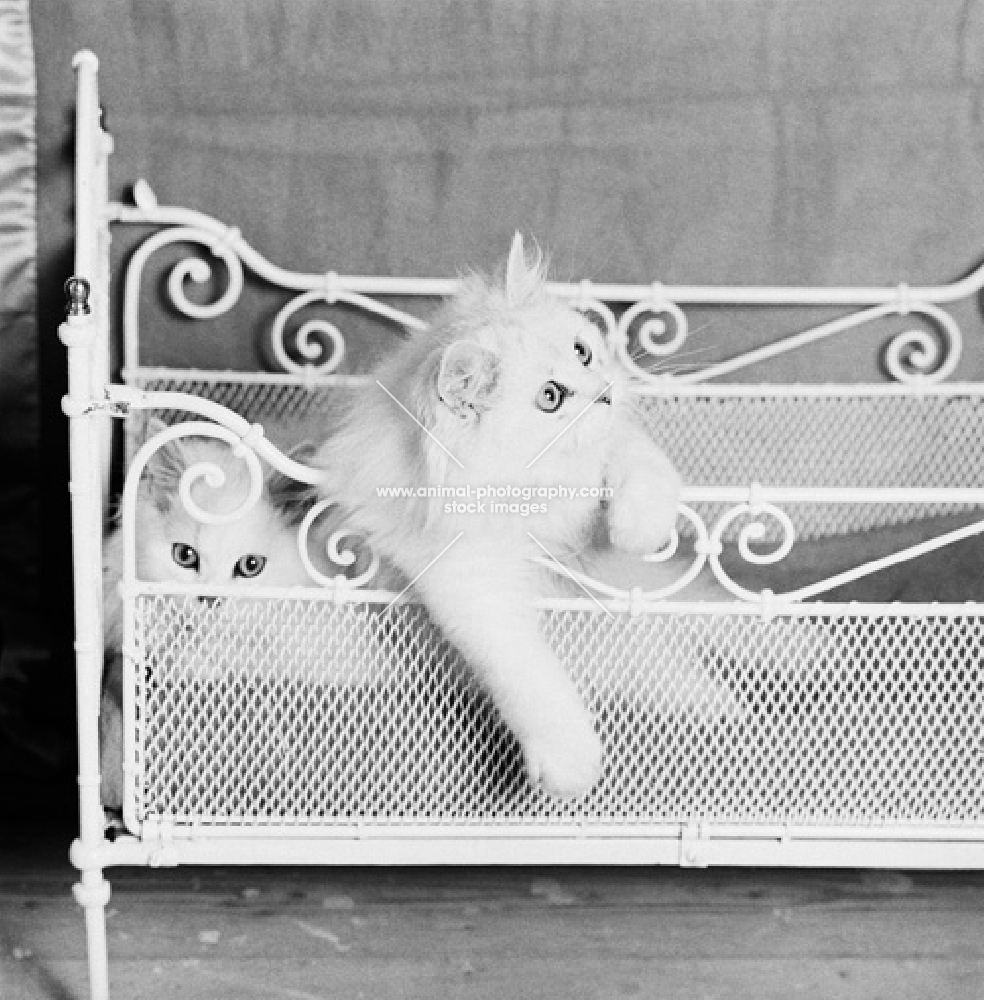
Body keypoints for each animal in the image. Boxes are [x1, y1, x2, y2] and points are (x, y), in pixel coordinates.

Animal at [316, 234, 684, 796]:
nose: (605, 392)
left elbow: (636, 460)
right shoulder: (466, 582)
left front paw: (640, 529)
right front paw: (572, 765)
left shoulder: (605, 458)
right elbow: (525, 672)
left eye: (582, 351)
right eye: (551, 398)